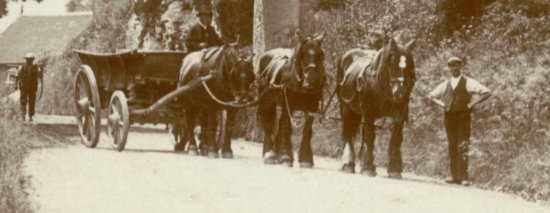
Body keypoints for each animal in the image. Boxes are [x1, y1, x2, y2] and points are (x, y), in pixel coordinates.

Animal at [258, 32, 328, 167]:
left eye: (320, 55)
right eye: (302, 54)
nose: (312, 80)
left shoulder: (312, 107)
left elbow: (307, 130)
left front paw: (306, 159)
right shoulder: (288, 104)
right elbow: (287, 127)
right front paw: (286, 157)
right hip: (267, 102)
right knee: (267, 124)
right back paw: (269, 155)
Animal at [336, 35, 418, 178]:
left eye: (409, 64)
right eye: (392, 62)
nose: (400, 93)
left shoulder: (400, 115)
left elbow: (396, 139)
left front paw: (394, 169)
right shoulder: (369, 113)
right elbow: (370, 137)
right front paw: (369, 168)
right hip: (347, 108)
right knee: (349, 133)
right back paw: (349, 164)